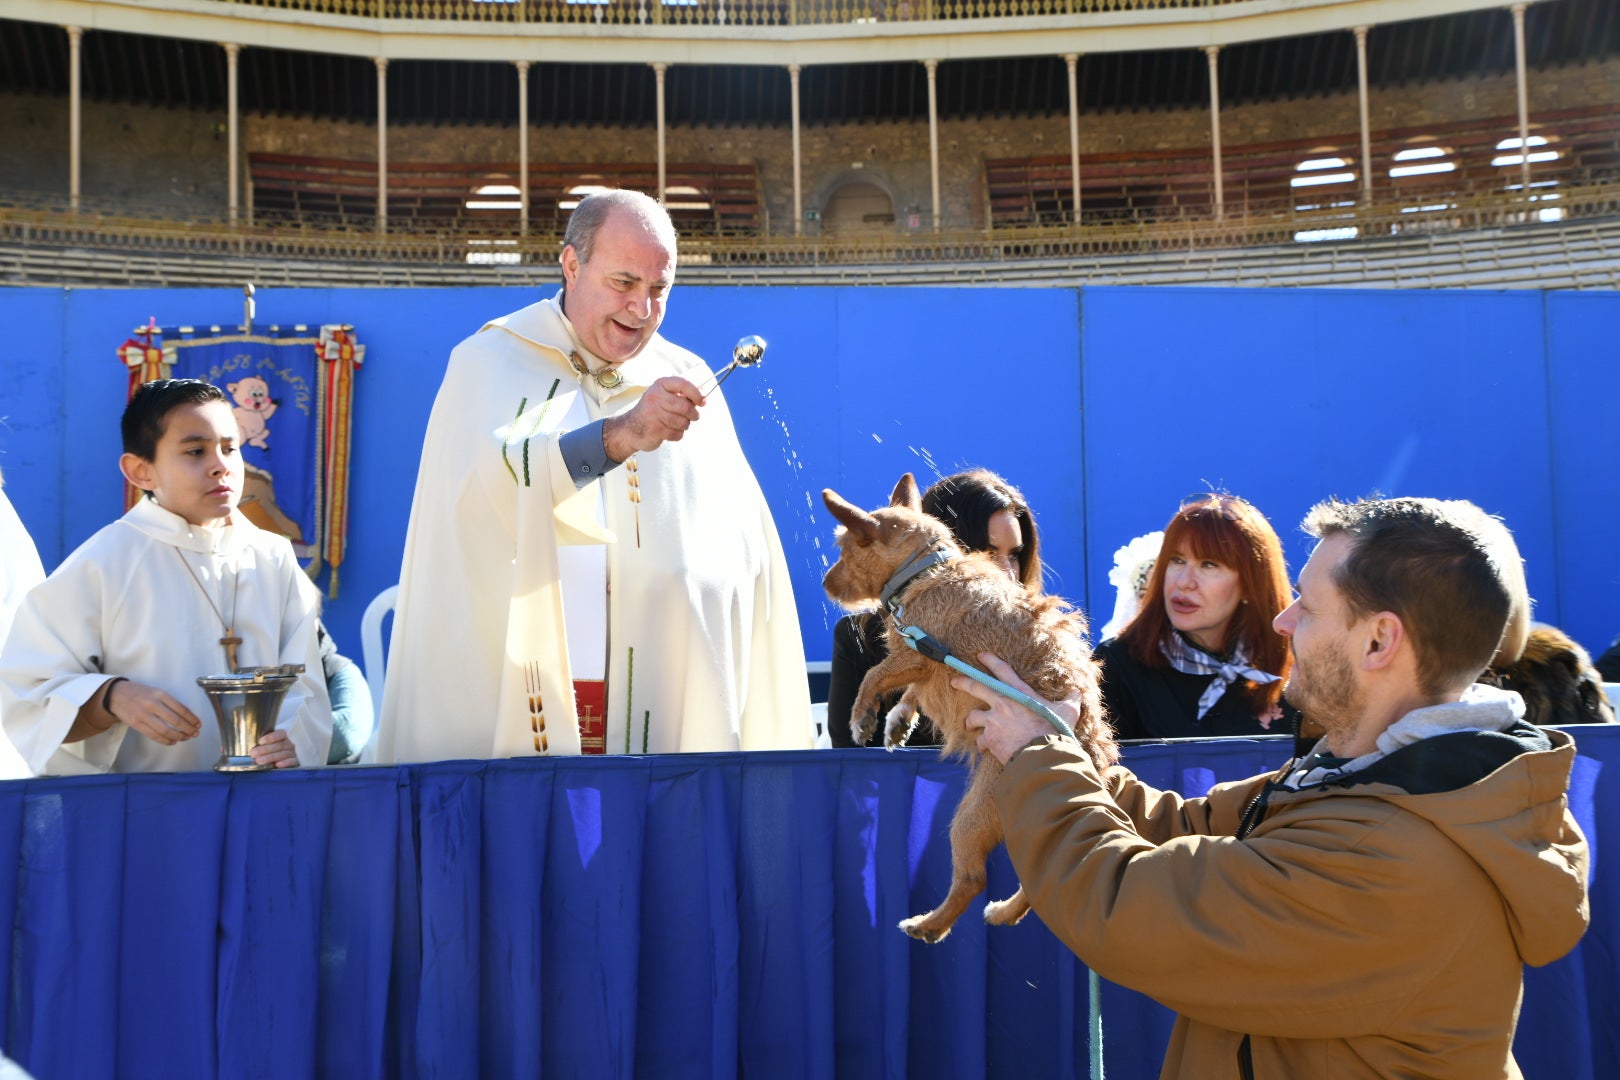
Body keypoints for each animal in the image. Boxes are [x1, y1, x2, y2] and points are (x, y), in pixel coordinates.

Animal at [822, 476, 1114, 939]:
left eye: (845, 552)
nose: (825, 583)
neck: (926, 570)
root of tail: (1091, 763)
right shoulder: (925, 665)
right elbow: (910, 692)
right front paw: (898, 721)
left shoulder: (915, 653)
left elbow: (875, 676)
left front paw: (862, 715)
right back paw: (1002, 912)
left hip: (970, 819)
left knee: (972, 878)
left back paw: (929, 924)